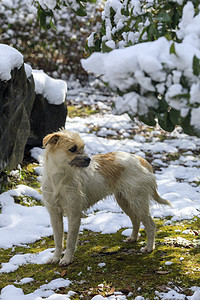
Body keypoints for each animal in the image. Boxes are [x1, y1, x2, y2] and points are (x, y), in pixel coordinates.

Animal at [41, 130, 170, 266]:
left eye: (82, 148)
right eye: (73, 149)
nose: (89, 160)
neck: (59, 178)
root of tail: (138, 158)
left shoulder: (74, 215)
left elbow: (70, 241)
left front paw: (67, 259)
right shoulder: (54, 214)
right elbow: (58, 240)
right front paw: (55, 257)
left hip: (138, 202)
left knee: (151, 225)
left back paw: (149, 247)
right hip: (125, 202)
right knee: (136, 220)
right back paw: (133, 238)